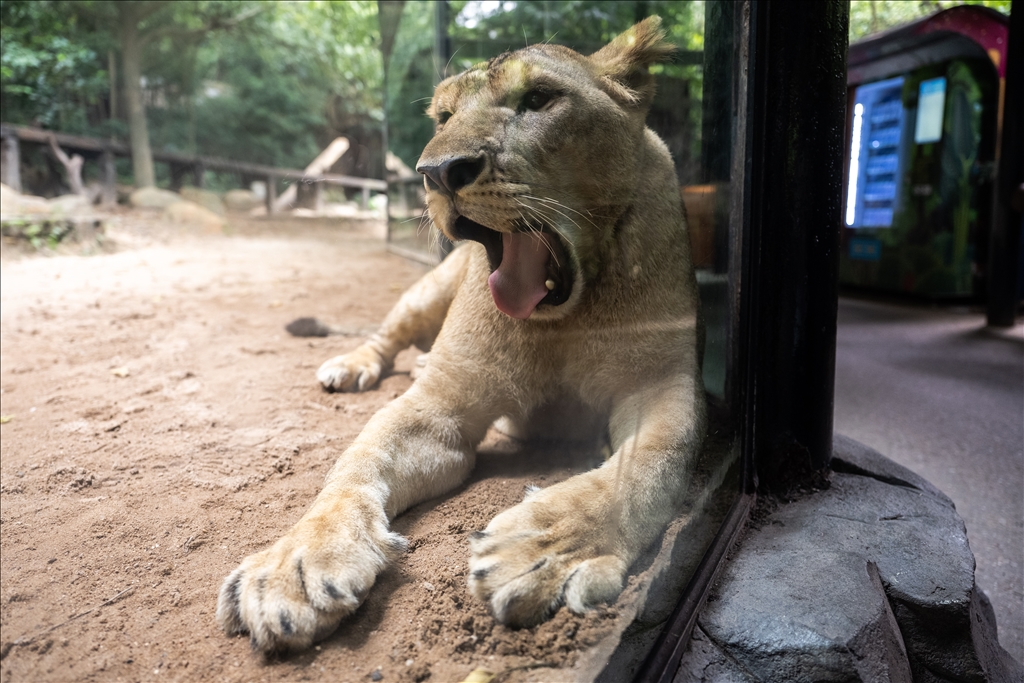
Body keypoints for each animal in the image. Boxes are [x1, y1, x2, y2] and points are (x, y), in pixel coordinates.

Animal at [218, 15, 704, 655]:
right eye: (444, 117)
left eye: (539, 99)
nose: (437, 172)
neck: (564, 316)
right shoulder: (442, 405)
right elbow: (355, 462)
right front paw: (295, 563)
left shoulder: (664, 385)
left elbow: (647, 465)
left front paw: (545, 549)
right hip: (427, 291)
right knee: (387, 337)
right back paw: (350, 365)